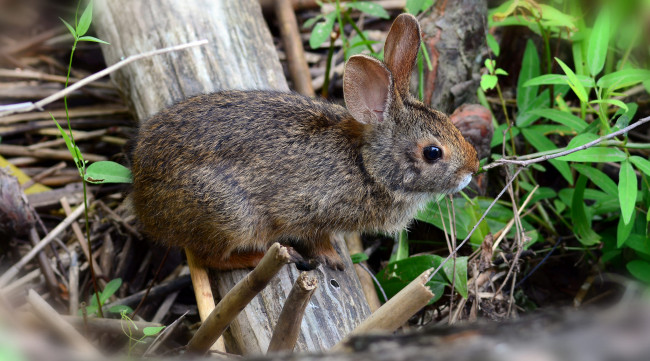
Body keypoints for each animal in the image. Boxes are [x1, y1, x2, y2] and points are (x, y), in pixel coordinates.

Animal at [130, 14, 476, 272]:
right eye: (432, 152)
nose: (472, 170)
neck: (366, 165)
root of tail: (143, 201)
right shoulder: (310, 212)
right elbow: (316, 238)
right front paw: (334, 259)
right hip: (230, 215)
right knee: (209, 259)